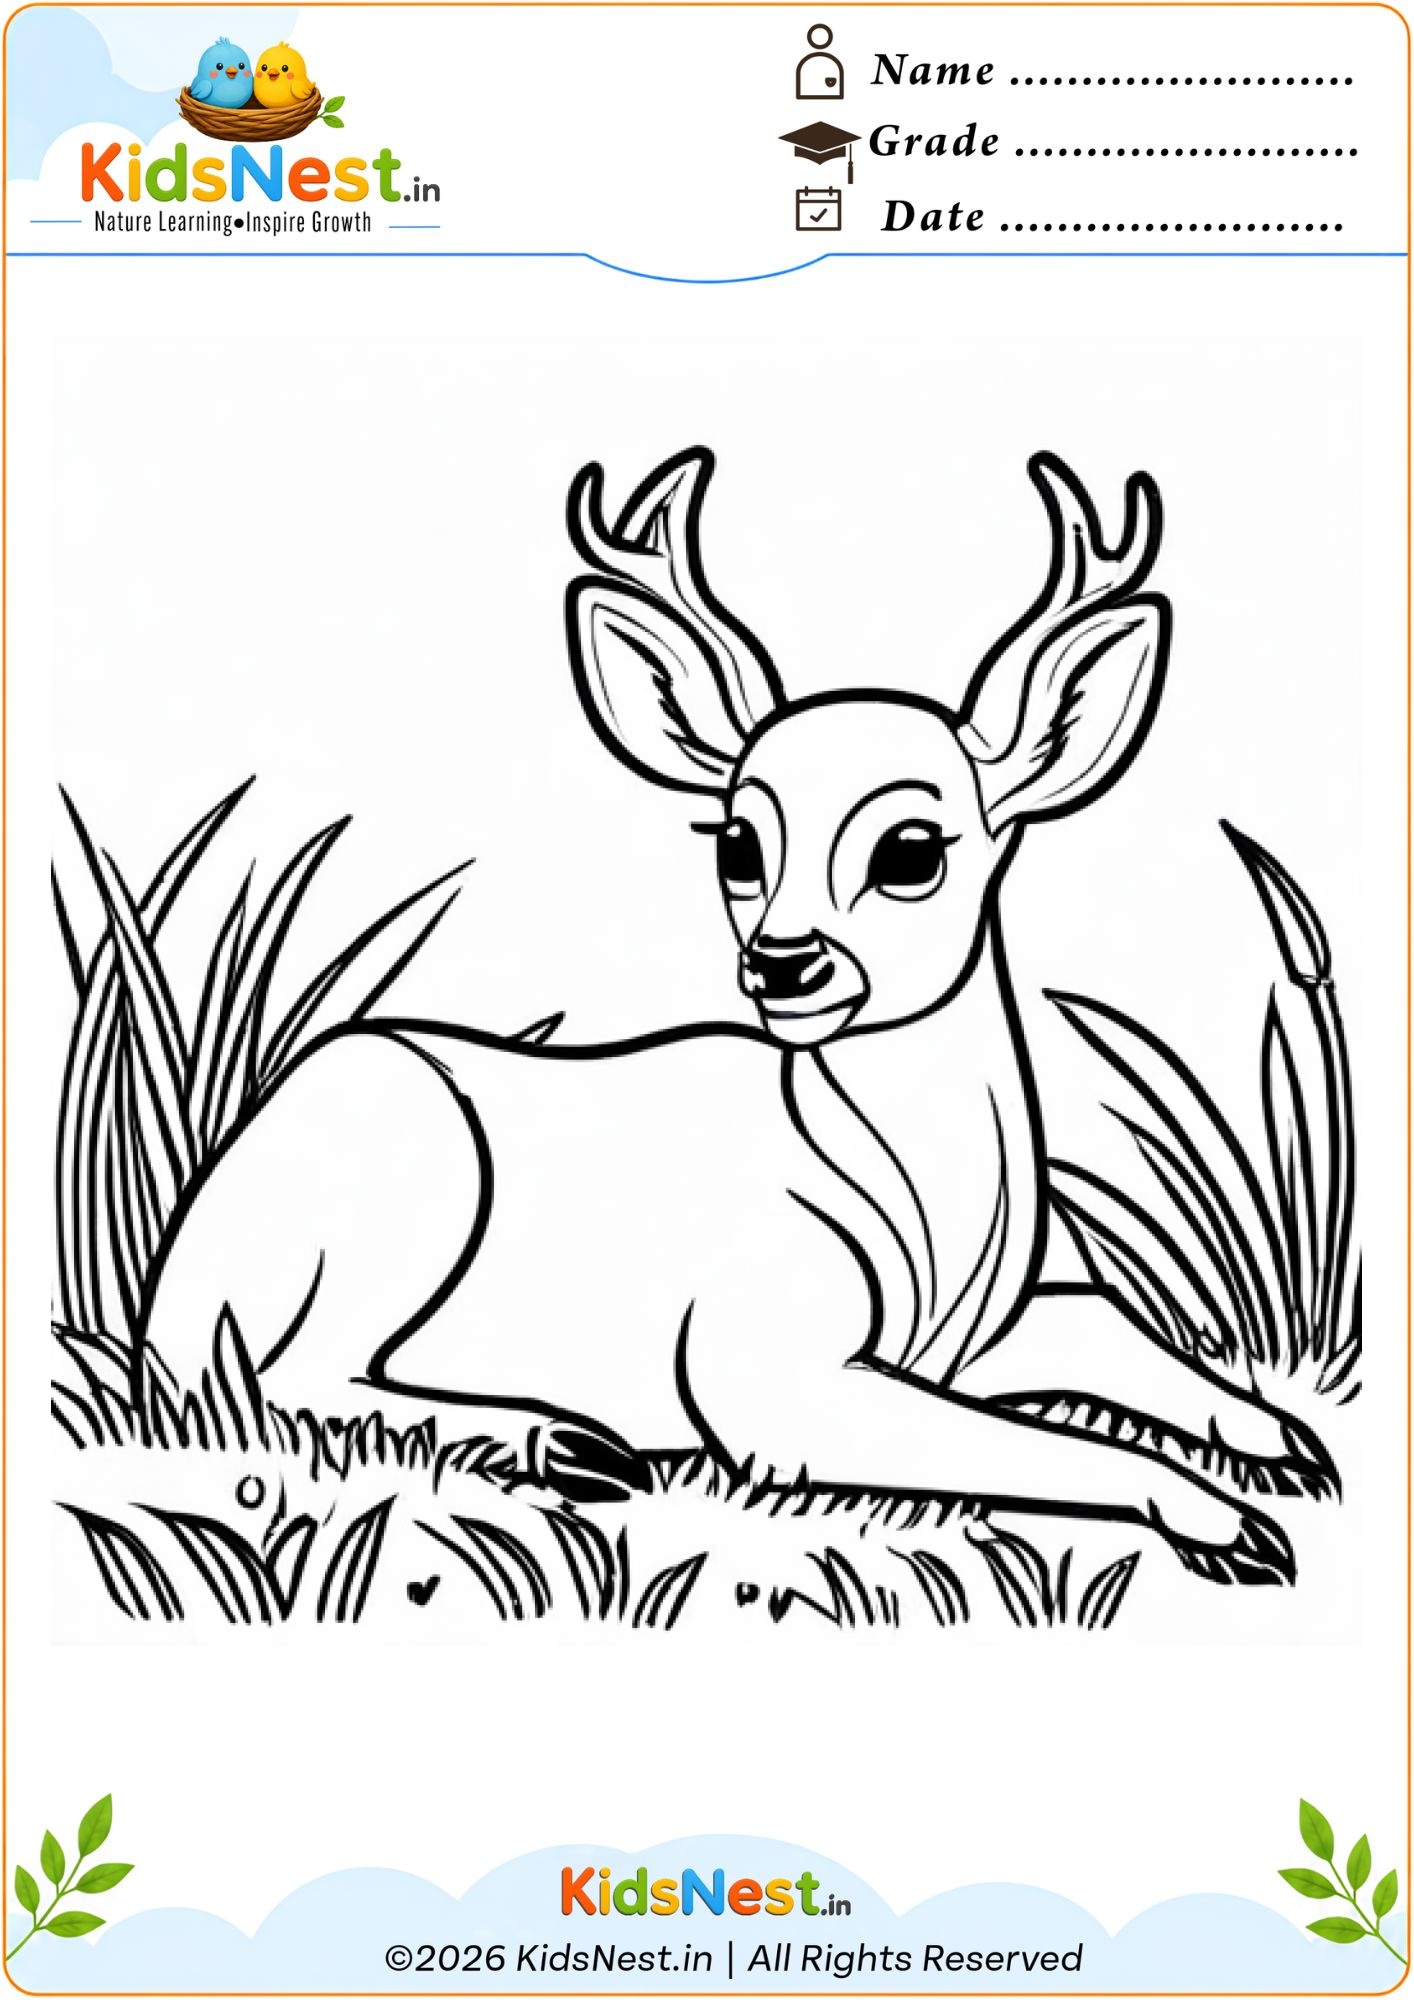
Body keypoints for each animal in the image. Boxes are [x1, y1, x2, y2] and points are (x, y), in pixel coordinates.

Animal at [140, 445, 1339, 1586]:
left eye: (913, 846)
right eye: (737, 842)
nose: (781, 962)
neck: (914, 1209)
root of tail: (162, 1300)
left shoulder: (975, 1338)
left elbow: (1103, 1316)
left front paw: (1289, 1442)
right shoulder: (766, 1375)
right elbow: (1055, 1443)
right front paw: (1232, 1527)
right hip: (392, 1177)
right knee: (287, 1377)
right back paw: (563, 1445)